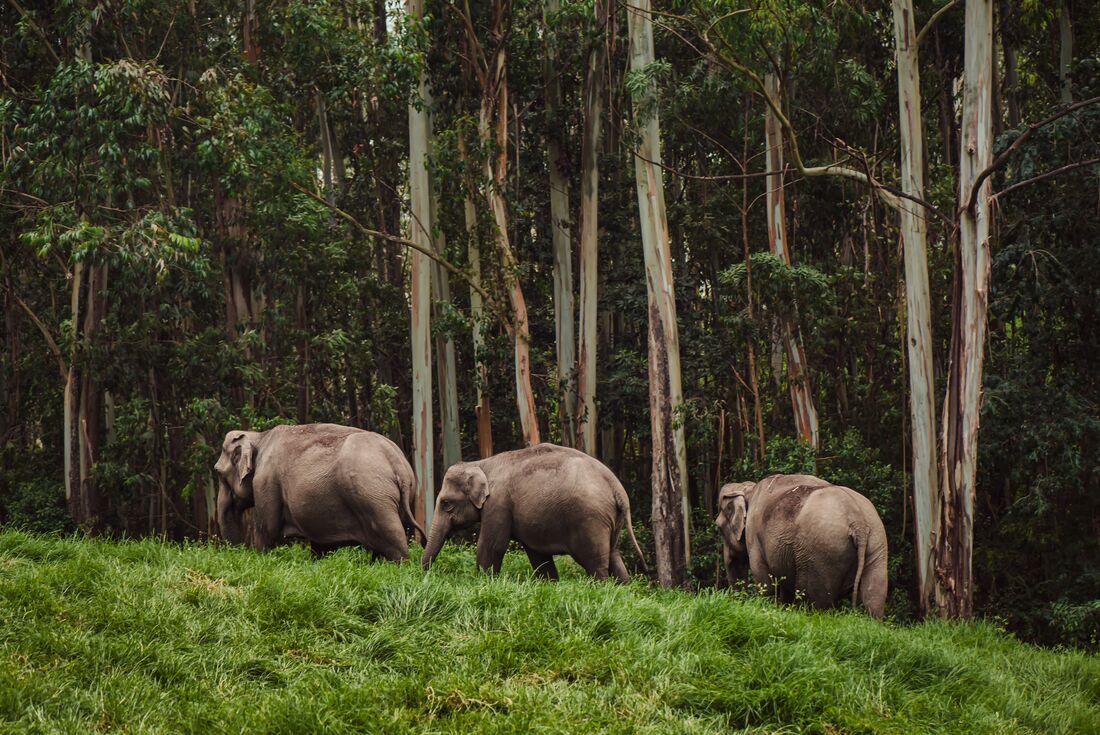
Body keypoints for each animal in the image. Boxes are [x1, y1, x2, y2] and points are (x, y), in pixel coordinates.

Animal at [213, 423, 426, 561]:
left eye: (218, 473)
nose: (237, 554)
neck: (260, 436)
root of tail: (398, 464)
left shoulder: (265, 484)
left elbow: (267, 532)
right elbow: (320, 545)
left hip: (373, 496)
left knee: (392, 537)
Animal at [421, 443, 648, 582]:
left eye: (446, 503)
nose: (425, 573)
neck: (480, 463)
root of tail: (617, 488)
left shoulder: (498, 504)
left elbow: (492, 545)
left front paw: (483, 581)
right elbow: (538, 555)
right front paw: (550, 584)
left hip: (591, 520)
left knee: (595, 562)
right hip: (611, 520)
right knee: (614, 556)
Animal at [715, 474, 888, 618]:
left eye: (718, 527)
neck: (749, 489)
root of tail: (858, 522)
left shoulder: (754, 537)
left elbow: (765, 582)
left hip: (821, 552)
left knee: (816, 600)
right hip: (877, 542)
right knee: (874, 595)